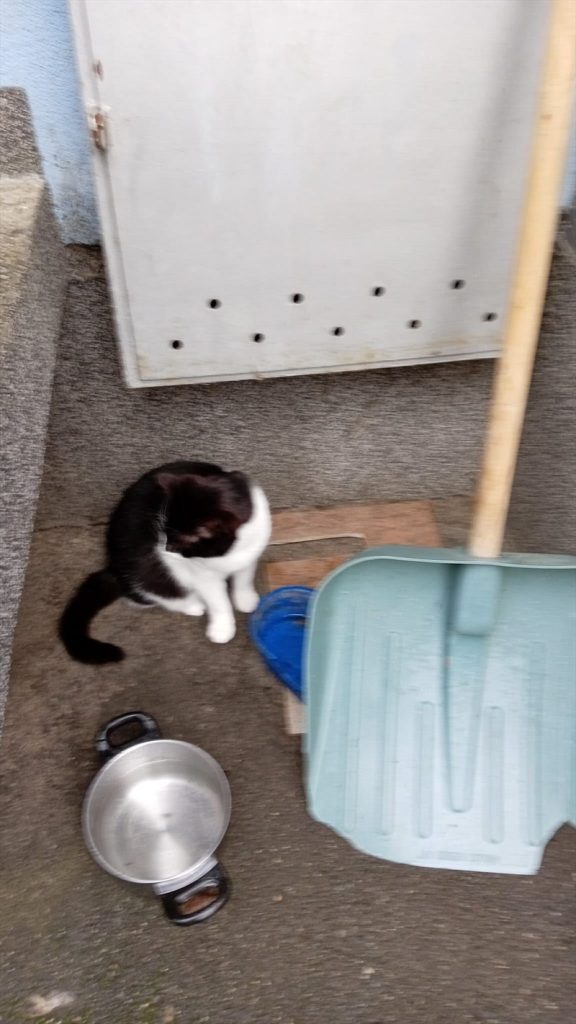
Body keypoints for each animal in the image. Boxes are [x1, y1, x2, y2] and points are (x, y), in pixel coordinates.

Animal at [59, 461, 271, 664]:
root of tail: (113, 566)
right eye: (163, 532)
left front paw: (245, 599)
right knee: (152, 593)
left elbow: (244, 578)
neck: (231, 554)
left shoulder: (252, 552)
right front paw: (222, 627)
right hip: (148, 570)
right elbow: (218, 600)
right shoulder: (201, 575)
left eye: (181, 541)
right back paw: (192, 604)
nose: (165, 548)